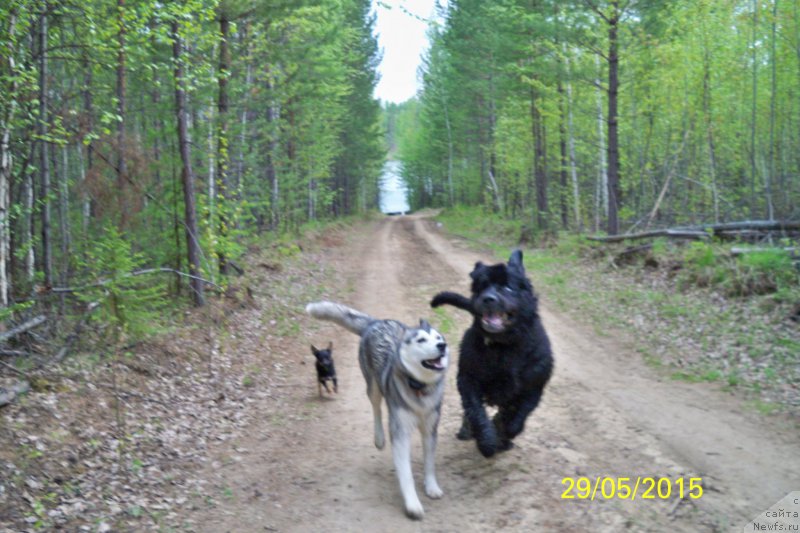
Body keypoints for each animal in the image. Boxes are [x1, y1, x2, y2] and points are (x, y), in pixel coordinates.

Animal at [432, 249, 552, 458]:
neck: (503, 346)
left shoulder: (533, 388)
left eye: (508, 288)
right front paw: (487, 442)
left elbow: (515, 419)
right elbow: (476, 412)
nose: (488, 299)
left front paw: (503, 434)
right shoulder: (468, 380)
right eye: (482, 287)